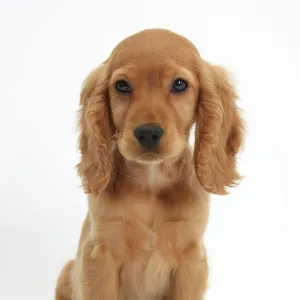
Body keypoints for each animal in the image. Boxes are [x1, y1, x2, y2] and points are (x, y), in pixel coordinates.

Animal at [55, 28, 245, 300]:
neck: (151, 184)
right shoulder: (100, 254)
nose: (147, 133)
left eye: (179, 84)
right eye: (122, 86)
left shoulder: (191, 257)